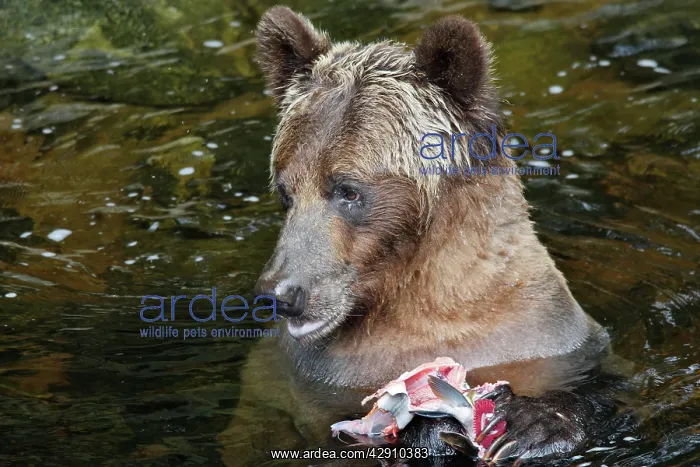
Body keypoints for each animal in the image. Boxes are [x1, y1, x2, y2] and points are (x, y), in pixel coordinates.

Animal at [216, 6, 630, 465]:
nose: (280, 293)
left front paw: (529, 425)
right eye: (286, 190)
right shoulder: (302, 375)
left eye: (347, 189)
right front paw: (428, 431)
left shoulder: (548, 336)